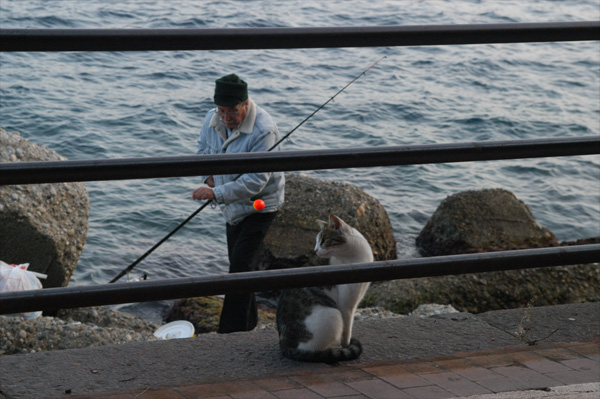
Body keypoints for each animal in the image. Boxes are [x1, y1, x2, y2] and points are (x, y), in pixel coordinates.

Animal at [276, 214, 370, 364]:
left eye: (323, 241)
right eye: (316, 241)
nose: (315, 250)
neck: (355, 256)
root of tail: (285, 346)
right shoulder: (346, 305)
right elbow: (346, 331)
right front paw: (346, 346)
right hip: (332, 315)